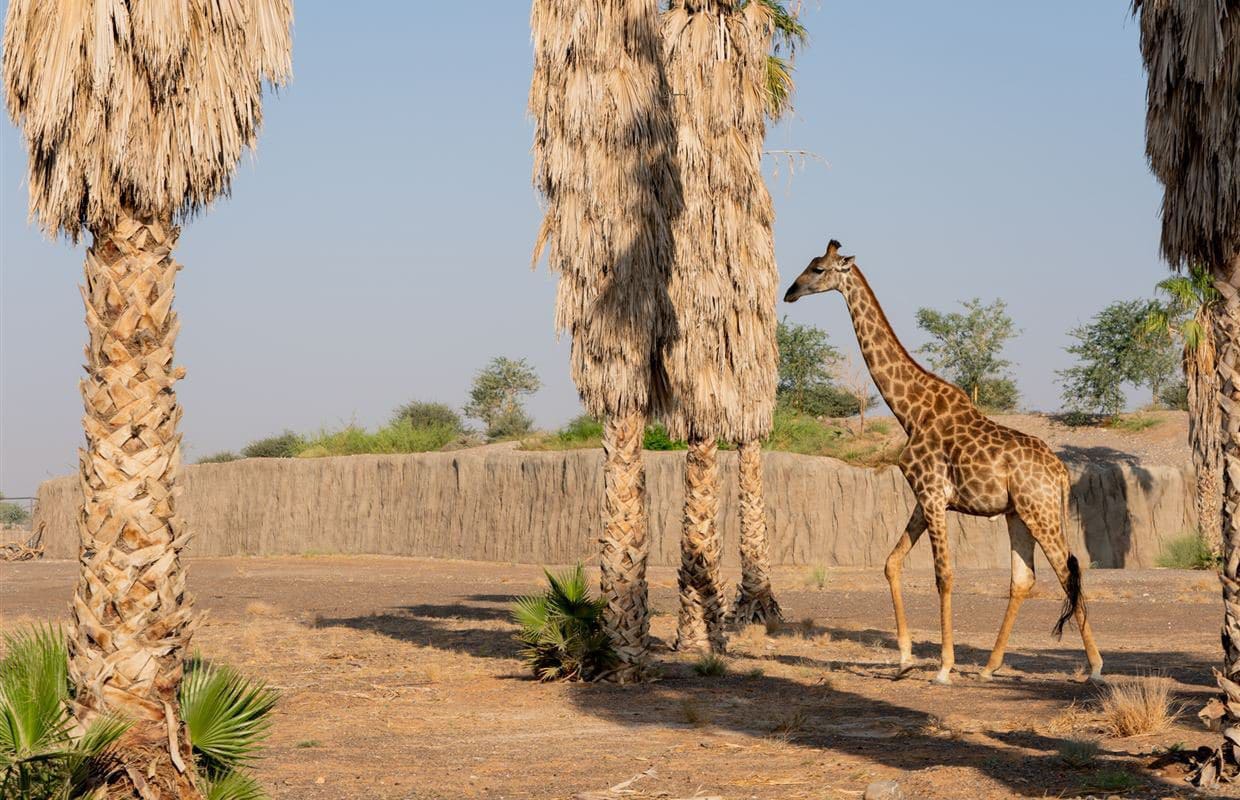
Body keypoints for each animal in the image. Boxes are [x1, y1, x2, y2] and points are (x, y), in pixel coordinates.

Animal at [783, 236, 1106, 679]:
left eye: (817, 269)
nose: (789, 292)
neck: (910, 410)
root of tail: (1059, 473)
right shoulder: (925, 498)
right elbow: (891, 563)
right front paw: (904, 658)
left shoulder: (934, 495)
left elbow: (944, 576)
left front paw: (943, 667)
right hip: (1018, 514)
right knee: (1024, 578)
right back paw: (989, 667)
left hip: (1039, 510)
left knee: (1066, 569)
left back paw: (1095, 666)